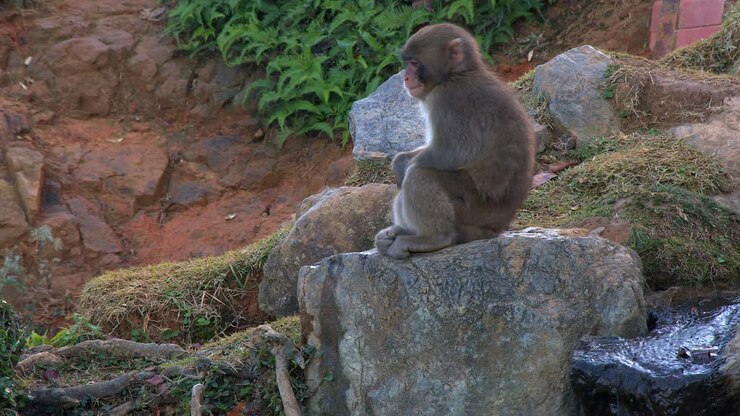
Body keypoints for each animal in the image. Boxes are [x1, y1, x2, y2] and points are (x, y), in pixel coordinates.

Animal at [374, 23, 535, 259]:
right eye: (408, 63)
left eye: (415, 63)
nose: (406, 78)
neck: (456, 75)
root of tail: (497, 228)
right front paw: (399, 161)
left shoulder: (449, 100)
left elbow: (452, 152)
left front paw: (406, 166)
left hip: (475, 210)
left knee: (421, 175)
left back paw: (433, 238)